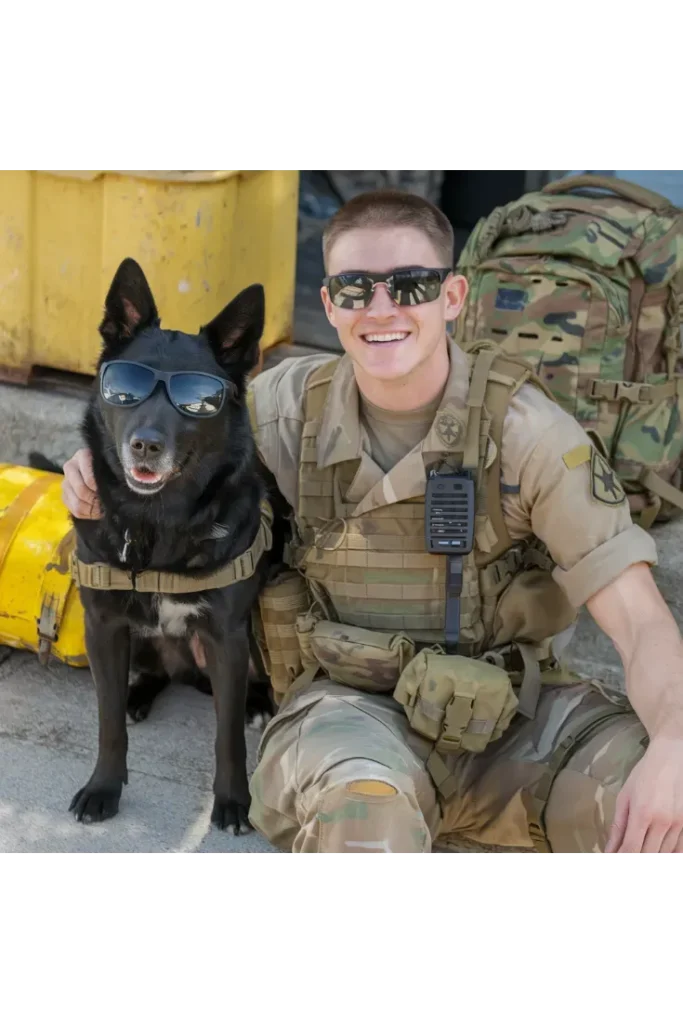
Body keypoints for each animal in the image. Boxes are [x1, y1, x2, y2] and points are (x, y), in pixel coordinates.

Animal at [60, 260, 280, 835]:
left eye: (198, 402)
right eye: (125, 387)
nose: (146, 445)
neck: (157, 522)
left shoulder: (227, 638)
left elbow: (228, 737)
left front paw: (233, 802)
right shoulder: (103, 626)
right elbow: (107, 723)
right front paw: (103, 787)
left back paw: (257, 702)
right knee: (152, 674)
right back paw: (139, 695)